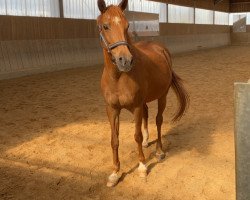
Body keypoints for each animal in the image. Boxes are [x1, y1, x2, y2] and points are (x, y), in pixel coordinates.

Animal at [96, 0, 188, 188]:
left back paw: (159, 151)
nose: (125, 60)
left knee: (158, 121)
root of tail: (161, 49)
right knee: (147, 114)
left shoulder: (136, 107)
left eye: (127, 26)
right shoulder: (112, 109)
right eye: (105, 26)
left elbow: (136, 136)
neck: (118, 77)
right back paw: (148, 142)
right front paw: (115, 173)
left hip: (162, 96)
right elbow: (114, 139)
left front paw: (142, 166)